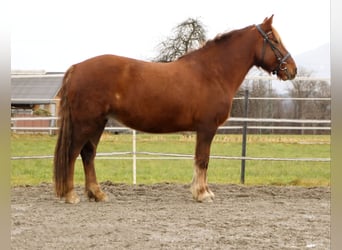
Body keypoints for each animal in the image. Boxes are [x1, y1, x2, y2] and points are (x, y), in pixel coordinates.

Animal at [54, 15, 296, 203]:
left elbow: (200, 160)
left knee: (88, 154)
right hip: (86, 123)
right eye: (274, 40)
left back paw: (97, 194)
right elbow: (203, 159)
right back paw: (70, 195)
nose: (292, 69)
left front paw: (201, 191)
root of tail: (76, 68)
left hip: (98, 123)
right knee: (73, 154)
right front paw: (202, 193)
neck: (213, 72)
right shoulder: (207, 128)